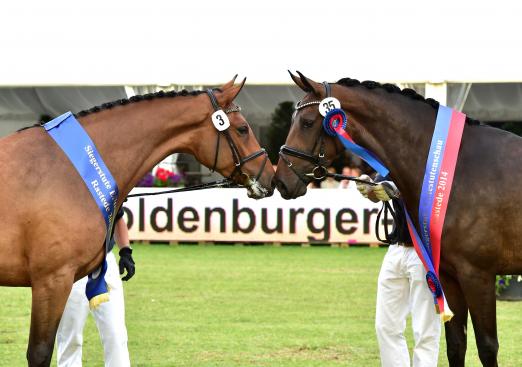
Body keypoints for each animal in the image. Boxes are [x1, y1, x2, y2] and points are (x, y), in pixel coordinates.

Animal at [274, 72, 516, 367]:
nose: (281, 181)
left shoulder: (478, 276)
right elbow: (456, 345)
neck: (460, 170)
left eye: (307, 122)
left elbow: (487, 347)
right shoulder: (449, 276)